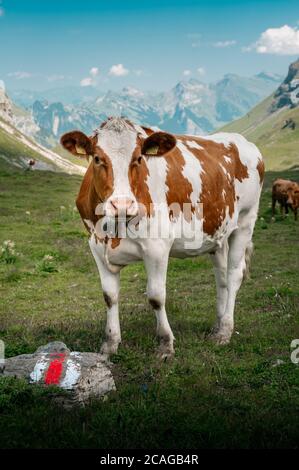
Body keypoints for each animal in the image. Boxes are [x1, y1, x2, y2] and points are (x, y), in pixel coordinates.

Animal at [61, 118, 264, 360]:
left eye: (139, 158)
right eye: (98, 159)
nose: (122, 205)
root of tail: (241, 141)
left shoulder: (157, 246)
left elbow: (156, 296)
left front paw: (165, 344)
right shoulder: (97, 246)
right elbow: (109, 296)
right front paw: (110, 344)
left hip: (245, 221)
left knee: (234, 275)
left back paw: (224, 331)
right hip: (218, 232)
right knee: (221, 277)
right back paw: (218, 324)